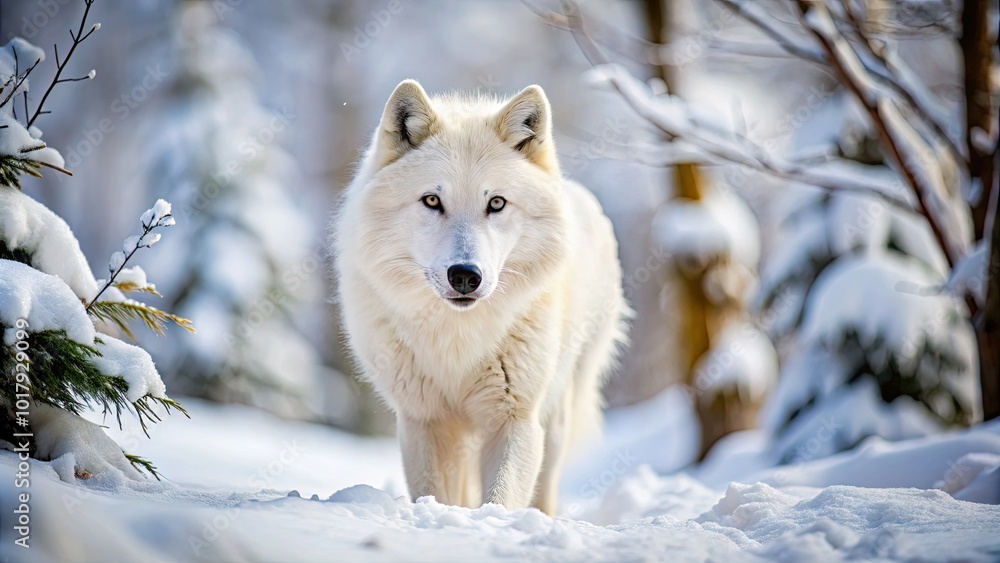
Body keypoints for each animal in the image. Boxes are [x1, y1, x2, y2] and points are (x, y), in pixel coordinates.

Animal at [332, 79, 629, 515]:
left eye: (497, 203)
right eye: (432, 200)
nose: (465, 276)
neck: (457, 337)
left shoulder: (516, 418)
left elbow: (502, 498)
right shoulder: (423, 420)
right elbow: (434, 492)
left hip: (557, 414)